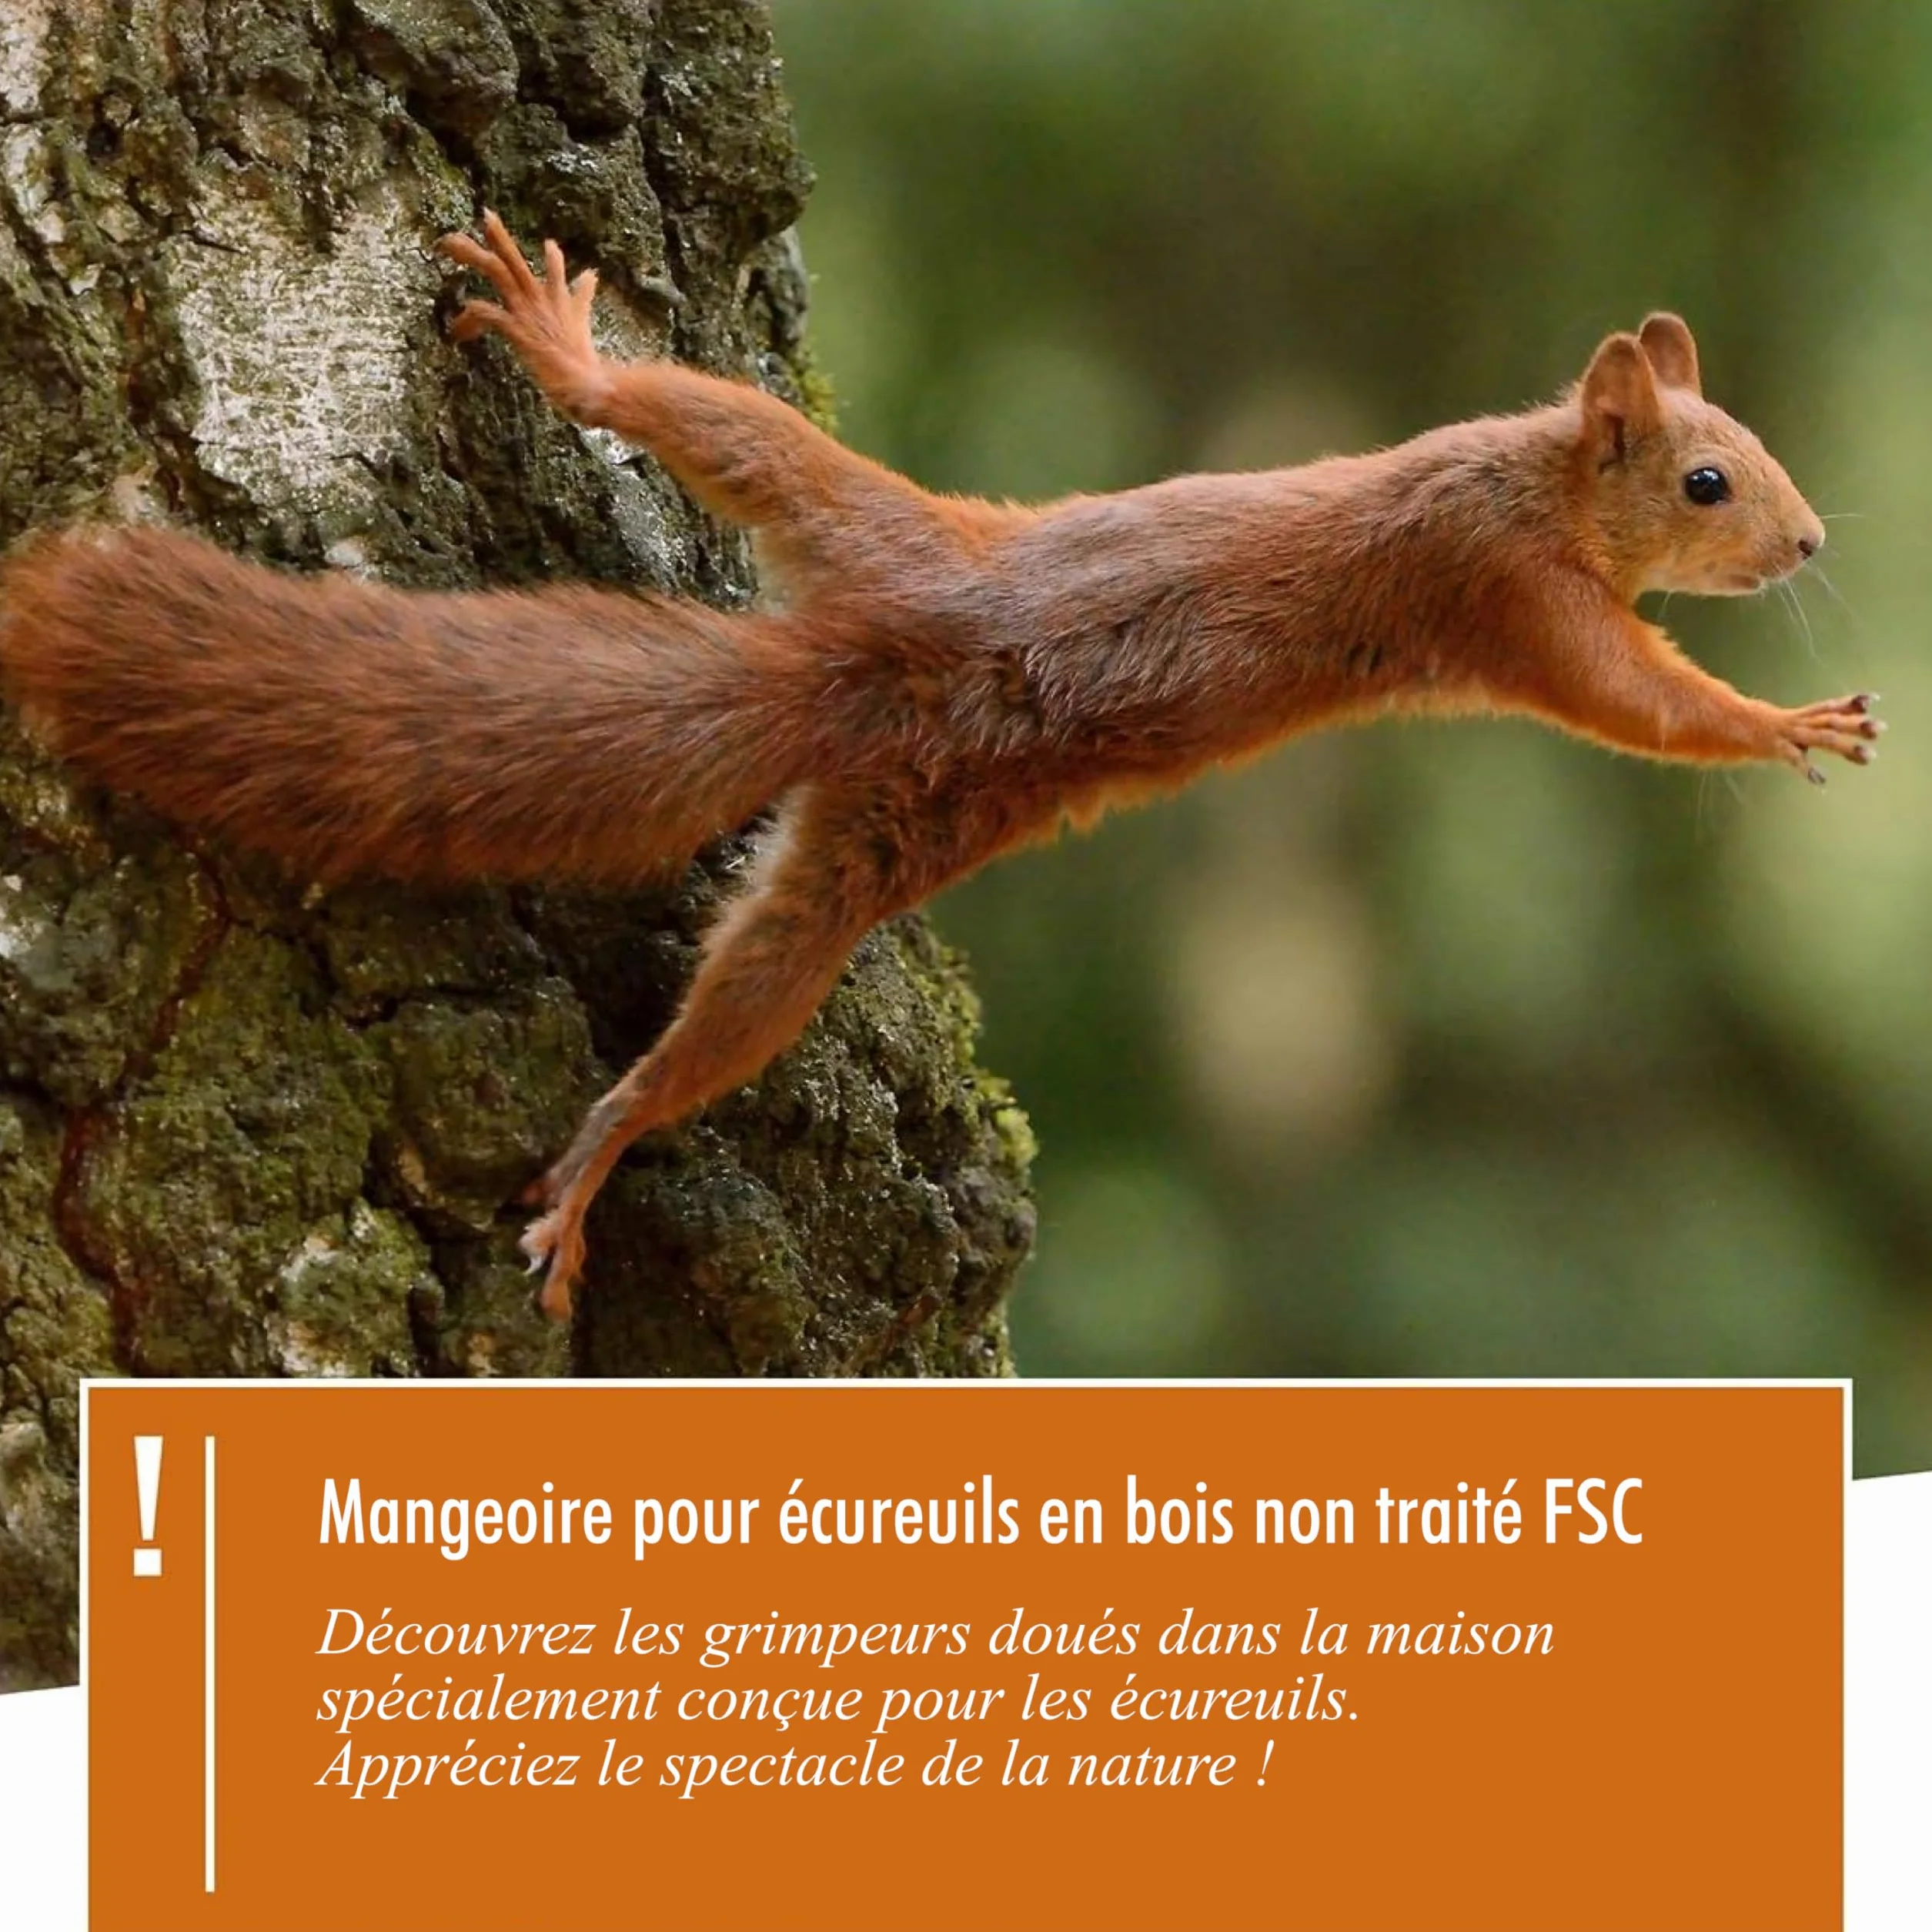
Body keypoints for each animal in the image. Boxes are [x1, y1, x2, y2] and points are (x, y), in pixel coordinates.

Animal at [0, 212, 1880, 1323]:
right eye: (1708, 480)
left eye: (1754, 446)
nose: (1811, 541)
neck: (1530, 475)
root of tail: (871, 664)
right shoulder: (1512, 597)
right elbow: (1638, 706)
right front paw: (1784, 723)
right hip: (880, 618)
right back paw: (603, 1150)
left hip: (854, 662)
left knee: (715, 456)